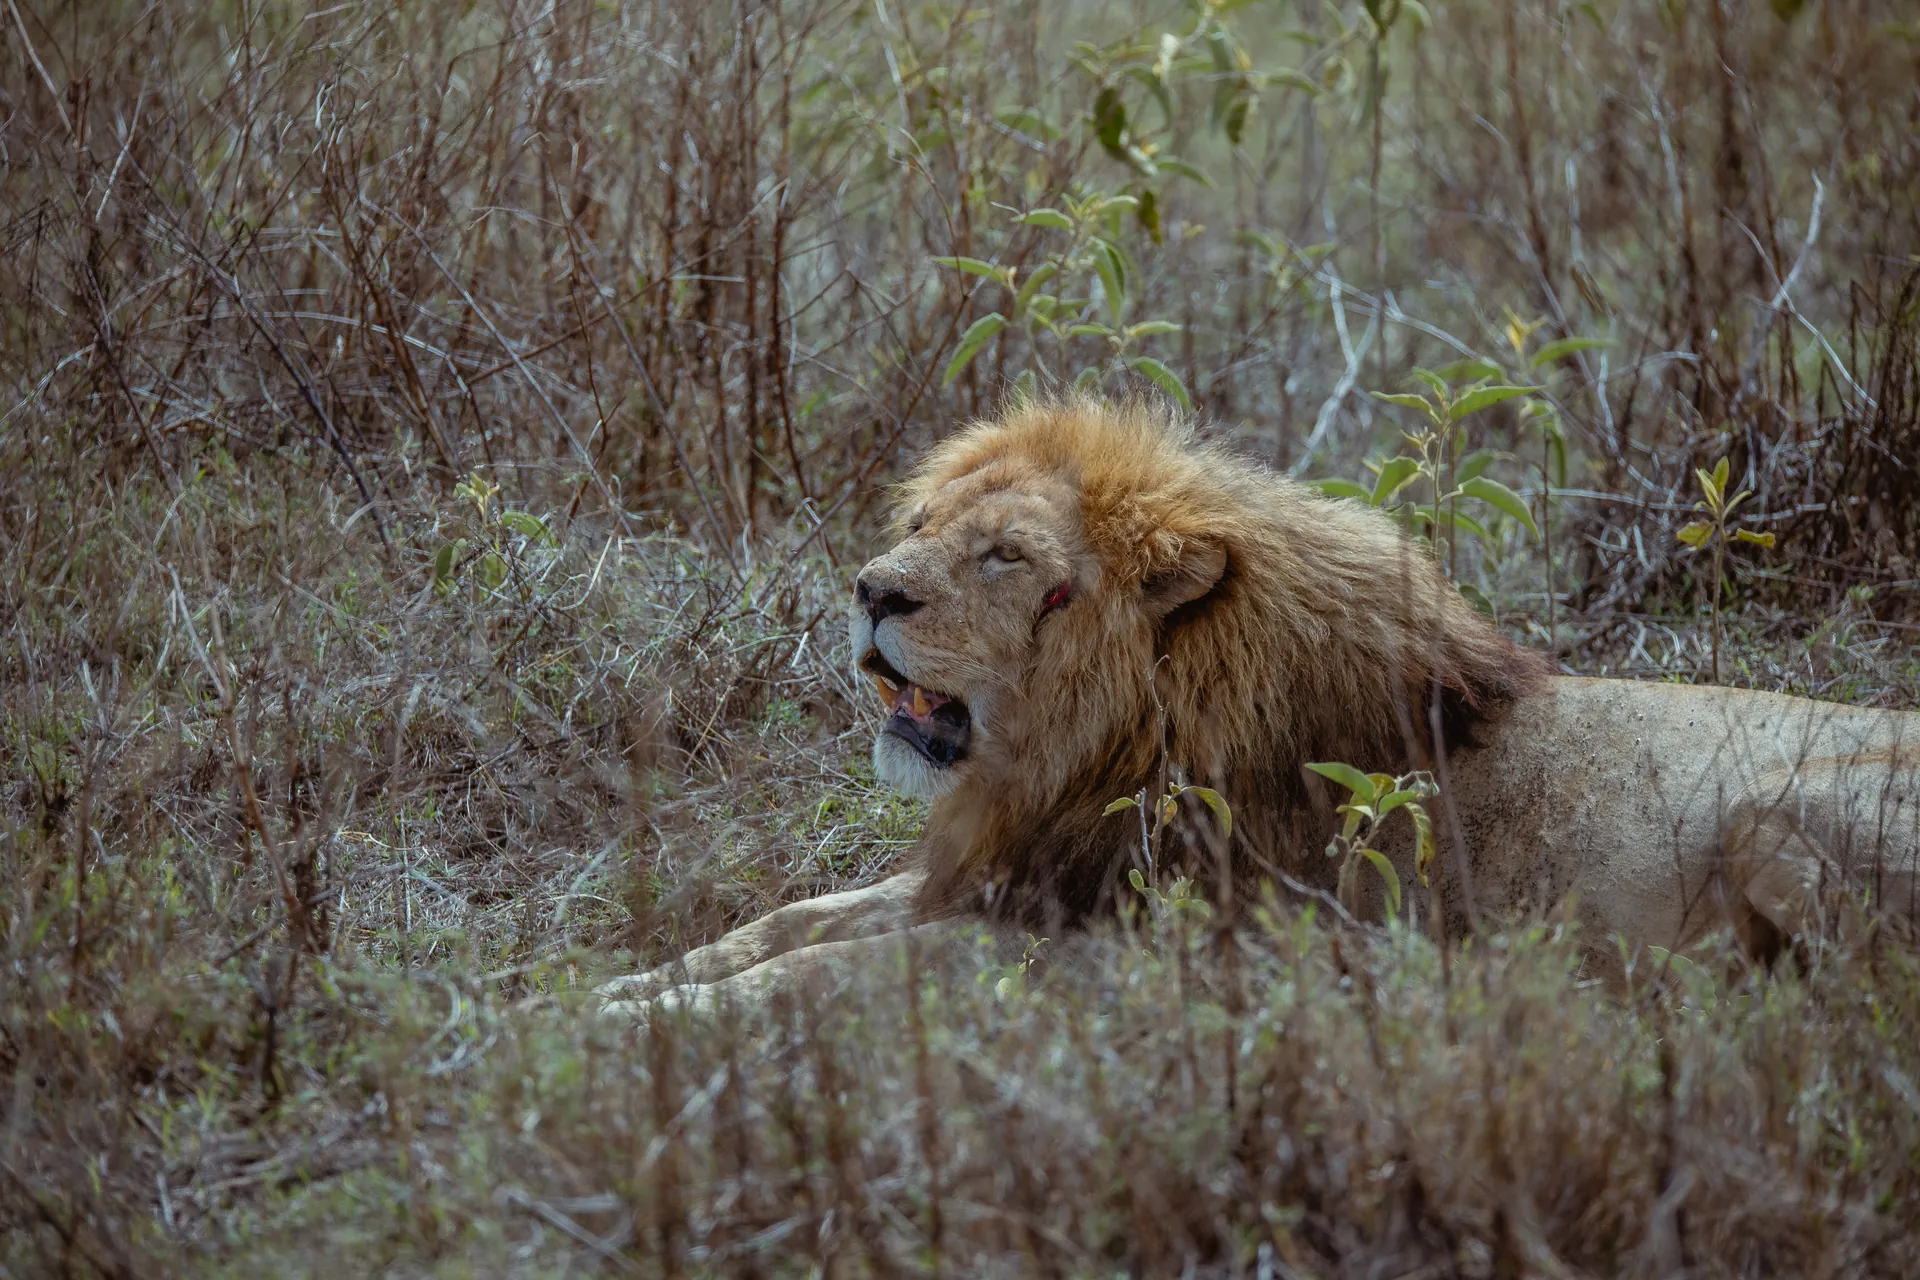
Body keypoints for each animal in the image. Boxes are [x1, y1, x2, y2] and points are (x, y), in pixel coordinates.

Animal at [600, 399, 1920, 1018]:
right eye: (922, 524)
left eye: (1008, 557)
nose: (872, 589)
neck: (1087, 757)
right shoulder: (1018, 870)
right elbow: (797, 919)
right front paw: (623, 986)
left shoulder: (1139, 947)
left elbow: (842, 970)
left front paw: (642, 1026)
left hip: (1771, 817)